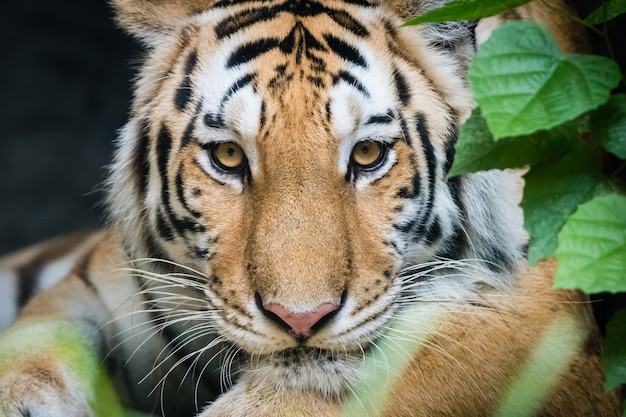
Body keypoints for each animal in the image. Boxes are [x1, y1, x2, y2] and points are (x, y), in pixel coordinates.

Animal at [0, 0, 620, 414]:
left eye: (368, 154)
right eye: (228, 155)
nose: (301, 319)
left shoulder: (533, 311)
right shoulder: (101, 286)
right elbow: (35, 350)